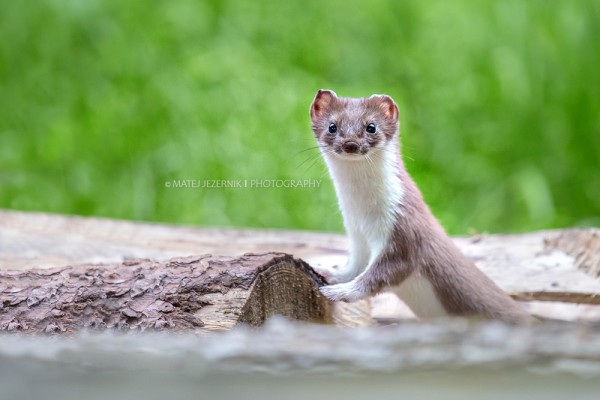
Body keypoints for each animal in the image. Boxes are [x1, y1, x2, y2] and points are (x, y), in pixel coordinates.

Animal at [310, 89, 528, 324]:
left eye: (371, 126)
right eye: (332, 126)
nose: (350, 143)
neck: (364, 215)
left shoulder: (404, 231)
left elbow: (382, 274)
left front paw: (340, 291)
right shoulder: (357, 236)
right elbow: (355, 266)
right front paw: (328, 272)